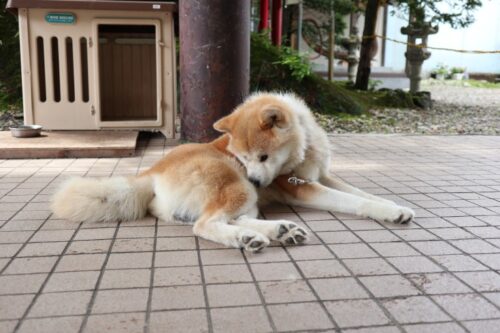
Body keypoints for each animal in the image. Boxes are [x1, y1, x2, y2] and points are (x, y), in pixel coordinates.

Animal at [52, 92, 416, 250]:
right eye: (242, 156)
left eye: (263, 156)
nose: (255, 177)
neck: (304, 146)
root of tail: (149, 174)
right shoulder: (301, 185)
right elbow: (353, 201)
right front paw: (384, 211)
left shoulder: (321, 176)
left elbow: (361, 192)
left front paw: (394, 206)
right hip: (235, 185)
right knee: (204, 224)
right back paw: (247, 239)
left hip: (244, 195)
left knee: (232, 217)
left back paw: (278, 231)